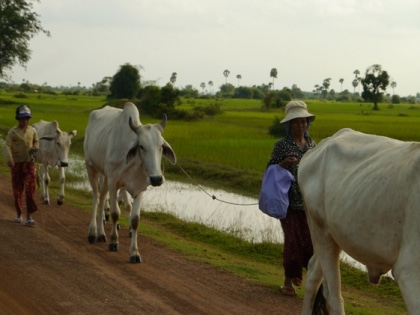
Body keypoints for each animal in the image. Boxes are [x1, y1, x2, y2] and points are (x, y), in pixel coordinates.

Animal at [84, 103, 176, 264]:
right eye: (141, 146)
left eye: (160, 147)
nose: (156, 179)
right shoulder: (114, 183)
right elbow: (115, 213)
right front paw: (114, 242)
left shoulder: (140, 189)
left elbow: (135, 219)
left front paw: (134, 252)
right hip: (91, 167)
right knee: (96, 197)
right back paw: (93, 232)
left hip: (105, 176)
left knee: (102, 199)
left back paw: (101, 233)